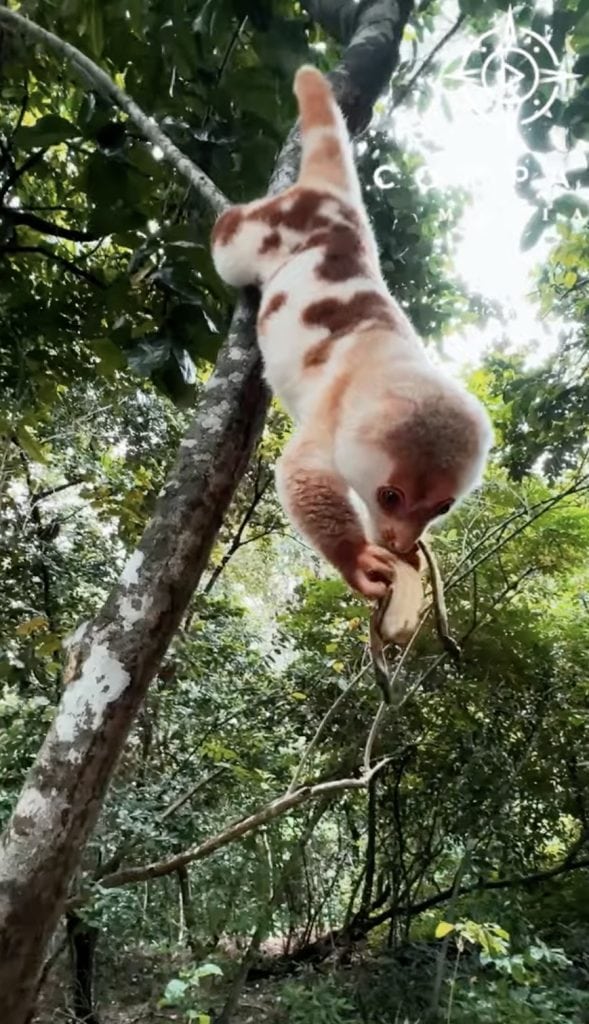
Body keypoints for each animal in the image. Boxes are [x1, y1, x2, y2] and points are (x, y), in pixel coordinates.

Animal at [211, 65, 492, 611]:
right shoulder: (332, 411)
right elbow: (303, 475)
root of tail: (332, 198)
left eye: (441, 507)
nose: (401, 542)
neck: (384, 365)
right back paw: (223, 216)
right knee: (231, 241)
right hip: (261, 236)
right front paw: (358, 561)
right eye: (390, 496)